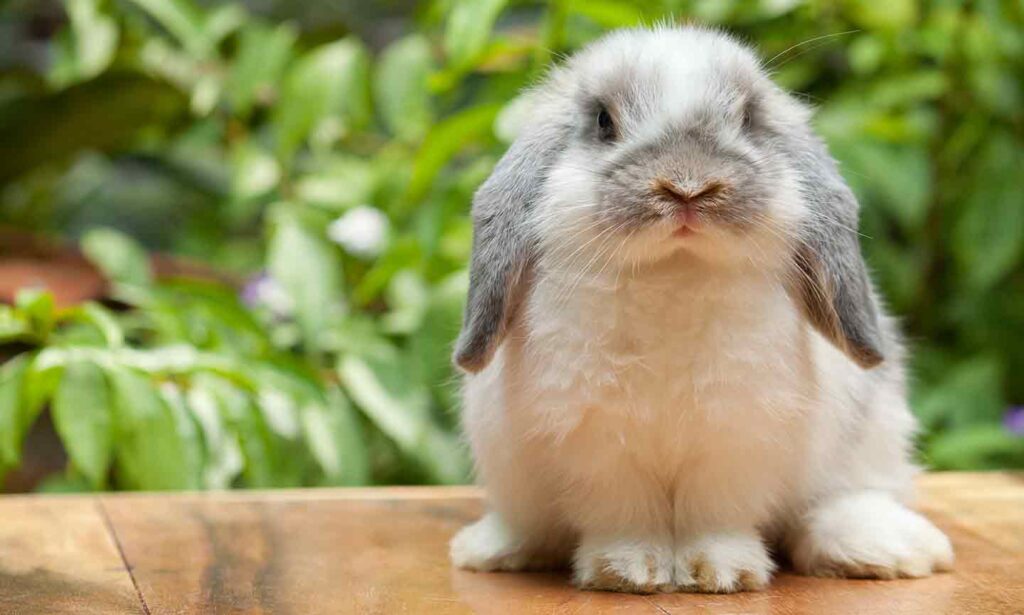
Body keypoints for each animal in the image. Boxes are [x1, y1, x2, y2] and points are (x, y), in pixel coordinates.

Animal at [448, 25, 953, 594]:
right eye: (603, 121)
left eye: (749, 119)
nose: (687, 186)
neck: (674, 273)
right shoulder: (599, 444)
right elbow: (624, 514)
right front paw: (628, 571)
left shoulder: (735, 438)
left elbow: (715, 515)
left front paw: (720, 572)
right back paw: (492, 548)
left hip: (871, 438)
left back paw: (887, 549)